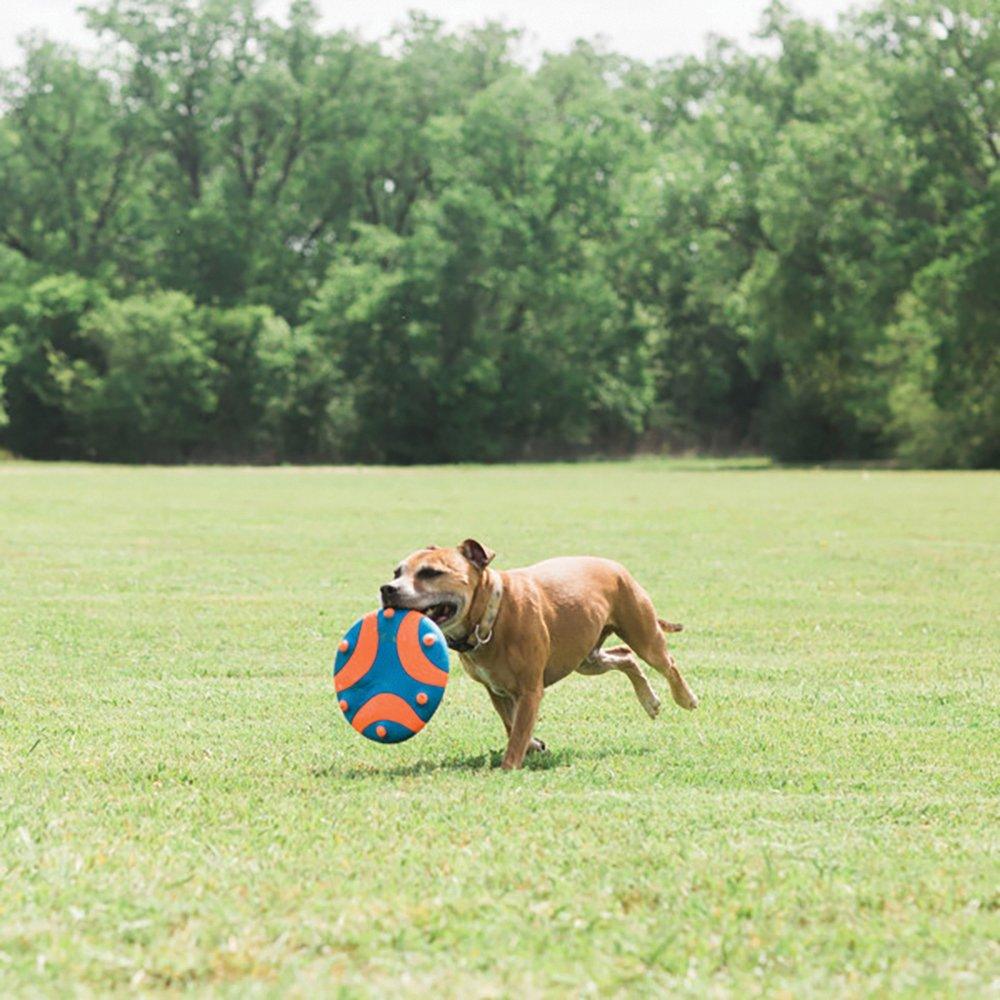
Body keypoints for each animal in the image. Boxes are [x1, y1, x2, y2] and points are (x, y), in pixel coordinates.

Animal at [378, 544, 700, 768]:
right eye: (397, 572)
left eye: (431, 573)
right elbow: (512, 724)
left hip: (643, 634)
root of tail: (615, 566)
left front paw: (508, 766)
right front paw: (534, 745)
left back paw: (685, 698)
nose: (387, 589)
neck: (492, 615)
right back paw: (650, 702)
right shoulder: (496, 690)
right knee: (625, 655)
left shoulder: (529, 690)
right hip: (586, 658)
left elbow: (518, 731)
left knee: (666, 663)